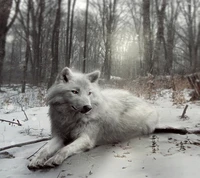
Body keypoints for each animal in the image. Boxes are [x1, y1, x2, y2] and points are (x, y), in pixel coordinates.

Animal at [28, 66, 159, 169]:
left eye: (89, 93)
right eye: (74, 92)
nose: (88, 107)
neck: (71, 119)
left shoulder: (86, 138)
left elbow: (65, 149)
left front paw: (54, 159)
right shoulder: (59, 136)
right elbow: (44, 149)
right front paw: (36, 160)